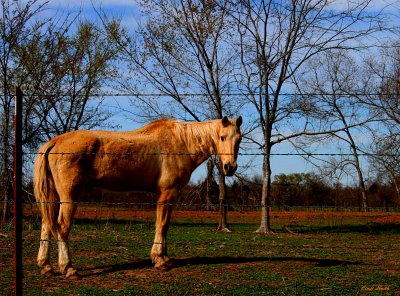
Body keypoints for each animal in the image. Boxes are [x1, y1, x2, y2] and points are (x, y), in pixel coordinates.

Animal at [33, 115, 241, 278]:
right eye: (222, 137)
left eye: (238, 139)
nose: (229, 168)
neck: (181, 142)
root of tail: (55, 142)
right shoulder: (167, 193)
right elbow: (162, 224)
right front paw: (159, 260)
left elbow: (164, 225)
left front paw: (165, 258)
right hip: (69, 196)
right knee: (62, 226)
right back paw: (68, 268)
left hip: (52, 196)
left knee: (46, 224)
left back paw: (46, 266)